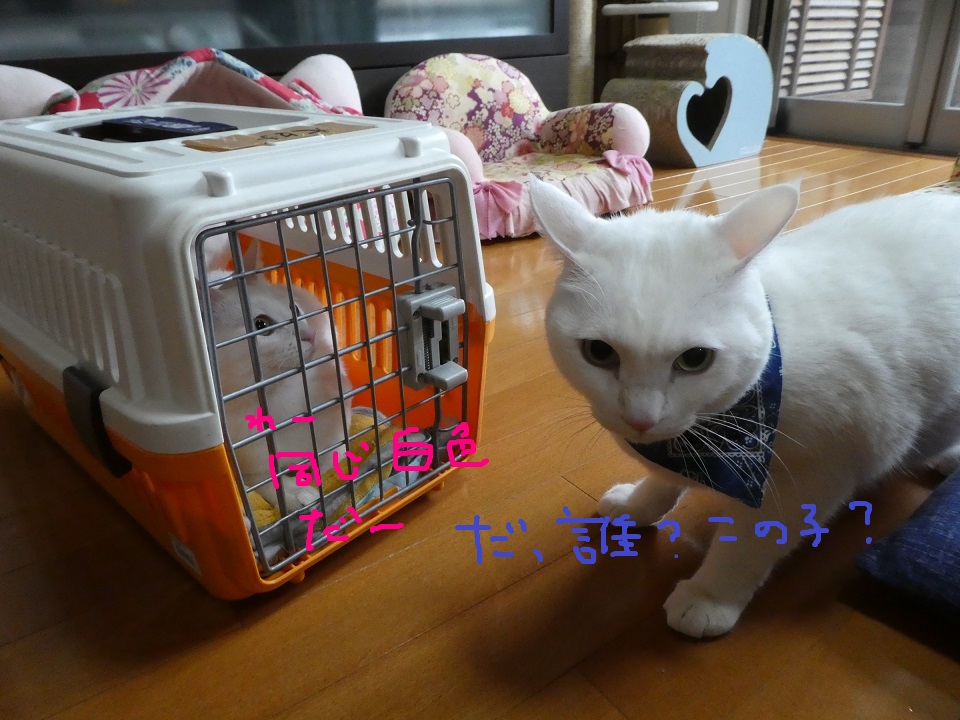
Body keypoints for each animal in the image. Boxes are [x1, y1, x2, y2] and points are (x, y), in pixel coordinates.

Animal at [206, 240, 352, 511]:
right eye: (261, 325)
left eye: (294, 307)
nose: (309, 335)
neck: (280, 397)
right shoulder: (250, 468)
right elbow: (270, 486)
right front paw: (299, 495)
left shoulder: (341, 407)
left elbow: (330, 455)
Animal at [529, 177, 960, 638]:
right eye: (598, 352)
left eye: (695, 359)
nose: (640, 418)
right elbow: (663, 480)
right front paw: (637, 504)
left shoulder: (815, 475)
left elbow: (749, 544)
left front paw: (709, 596)